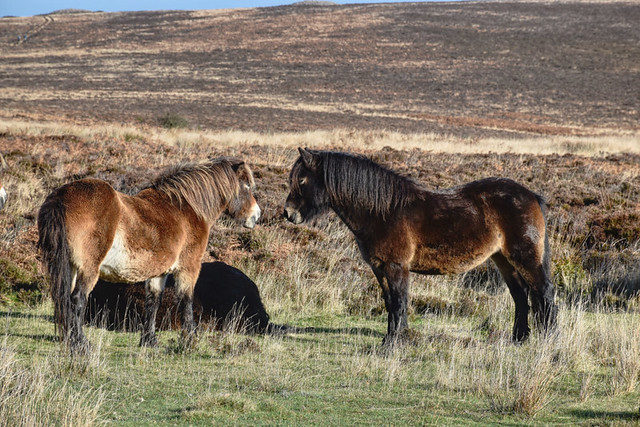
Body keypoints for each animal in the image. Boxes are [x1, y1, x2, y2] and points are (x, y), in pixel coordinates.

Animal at [37, 159, 260, 352]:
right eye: (246, 186)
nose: (256, 216)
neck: (184, 208)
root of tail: (62, 196)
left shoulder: (159, 273)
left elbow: (153, 303)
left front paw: (149, 340)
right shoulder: (189, 267)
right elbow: (186, 301)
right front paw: (190, 340)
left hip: (70, 267)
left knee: (65, 299)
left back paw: (69, 339)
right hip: (88, 269)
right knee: (77, 300)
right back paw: (80, 344)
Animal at [284, 149, 556, 346]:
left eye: (302, 180)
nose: (288, 213)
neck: (383, 211)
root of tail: (532, 196)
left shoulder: (396, 267)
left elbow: (399, 303)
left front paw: (393, 343)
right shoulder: (380, 268)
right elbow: (390, 303)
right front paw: (393, 338)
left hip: (525, 258)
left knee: (544, 292)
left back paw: (548, 340)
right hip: (503, 260)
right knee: (521, 296)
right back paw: (518, 339)